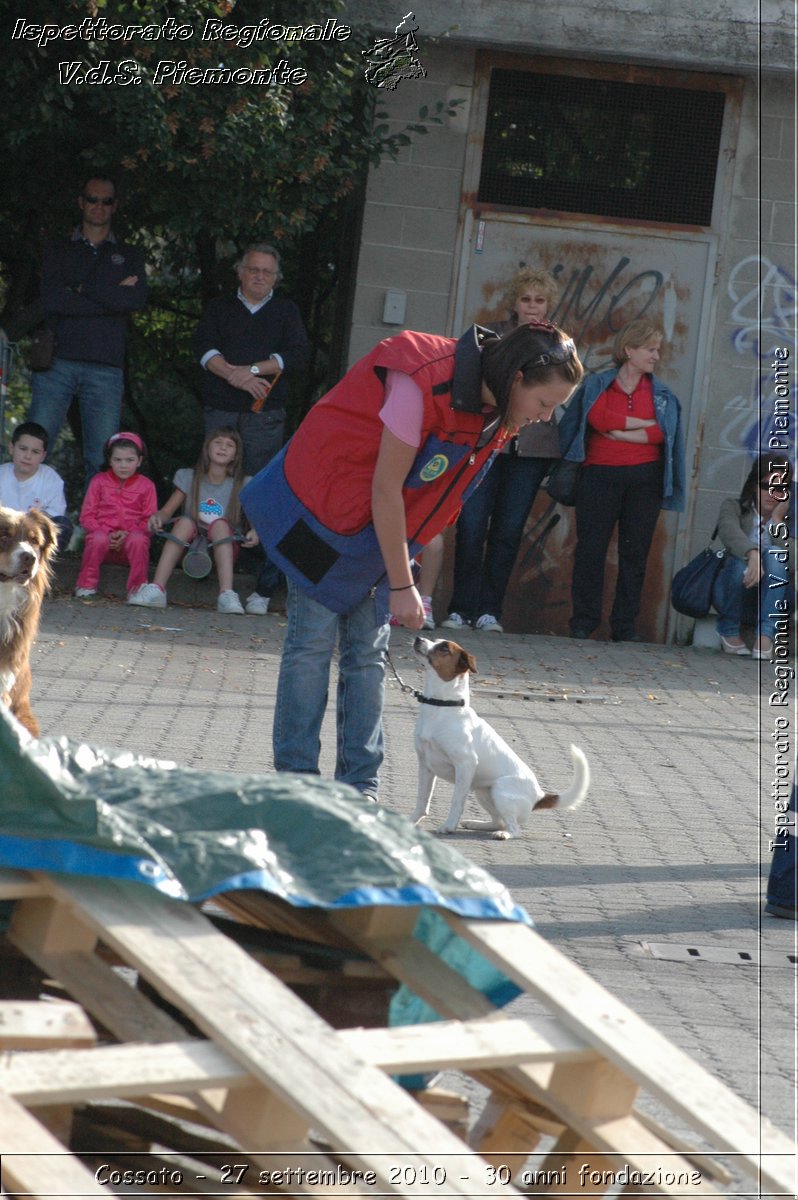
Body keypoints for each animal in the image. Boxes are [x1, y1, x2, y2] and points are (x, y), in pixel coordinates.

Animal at [410, 633, 590, 840]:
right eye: (435, 640)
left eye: (444, 648)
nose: (418, 638)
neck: (441, 706)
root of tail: (538, 796)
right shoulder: (425, 765)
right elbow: (422, 800)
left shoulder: (465, 764)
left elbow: (457, 802)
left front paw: (448, 826)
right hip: (482, 792)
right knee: (499, 821)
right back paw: (475, 824)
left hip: (499, 790)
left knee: (514, 829)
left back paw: (503, 834)